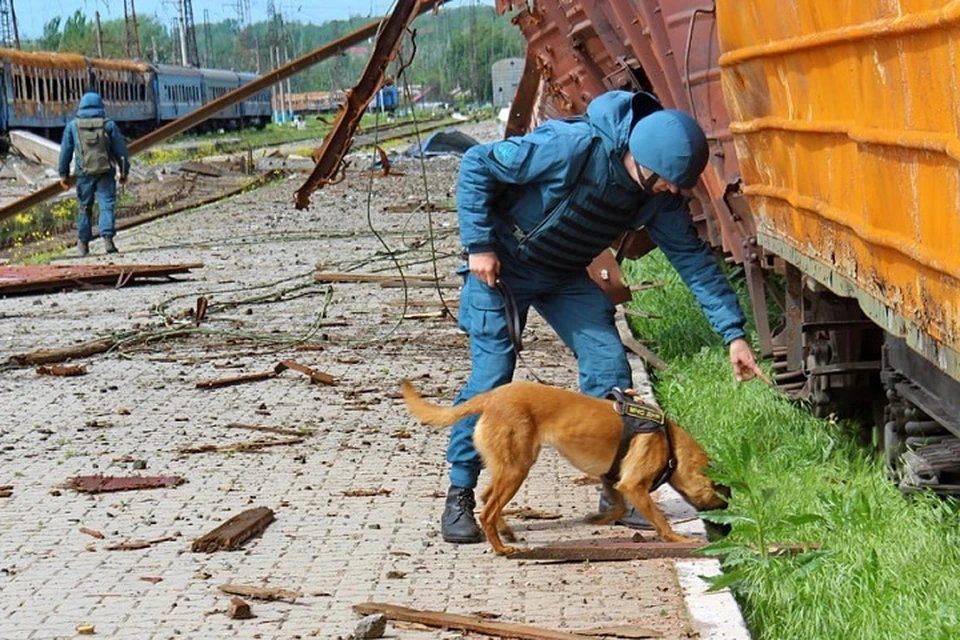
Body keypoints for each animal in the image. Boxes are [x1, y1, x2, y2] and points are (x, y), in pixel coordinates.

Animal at [400, 380, 728, 556]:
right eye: (723, 497)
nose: (725, 531)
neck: (670, 442)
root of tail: (491, 397)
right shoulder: (633, 484)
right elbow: (660, 520)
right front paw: (679, 539)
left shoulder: (615, 479)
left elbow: (619, 505)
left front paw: (600, 518)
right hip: (517, 470)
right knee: (487, 511)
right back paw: (501, 547)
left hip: (512, 465)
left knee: (486, 497)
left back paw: (506, 532)